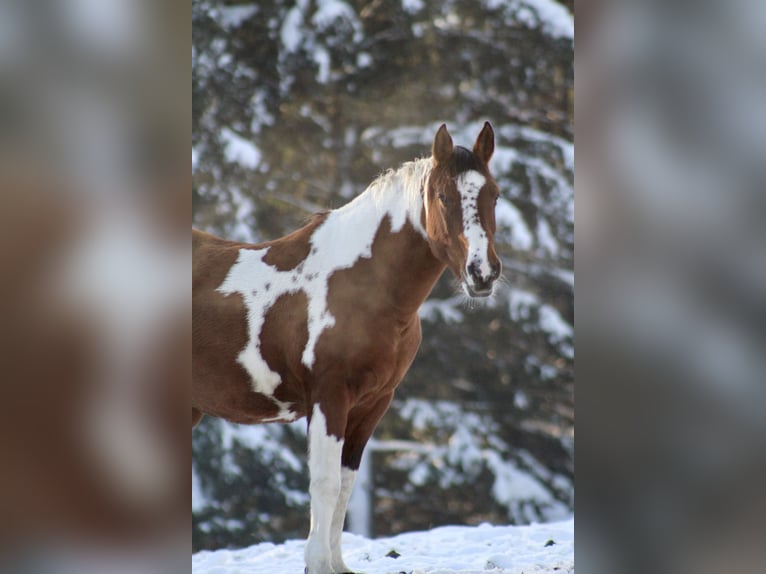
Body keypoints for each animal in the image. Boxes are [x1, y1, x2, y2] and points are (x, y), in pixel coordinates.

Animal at [192, 122, 504, 574]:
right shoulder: (329, 397)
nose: (482, 273)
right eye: (443, 196)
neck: (360, 285)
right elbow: (324, 482)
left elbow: (345, 484)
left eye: (494, 194)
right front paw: (317, 563)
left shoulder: (371, 404)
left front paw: (337, 564)